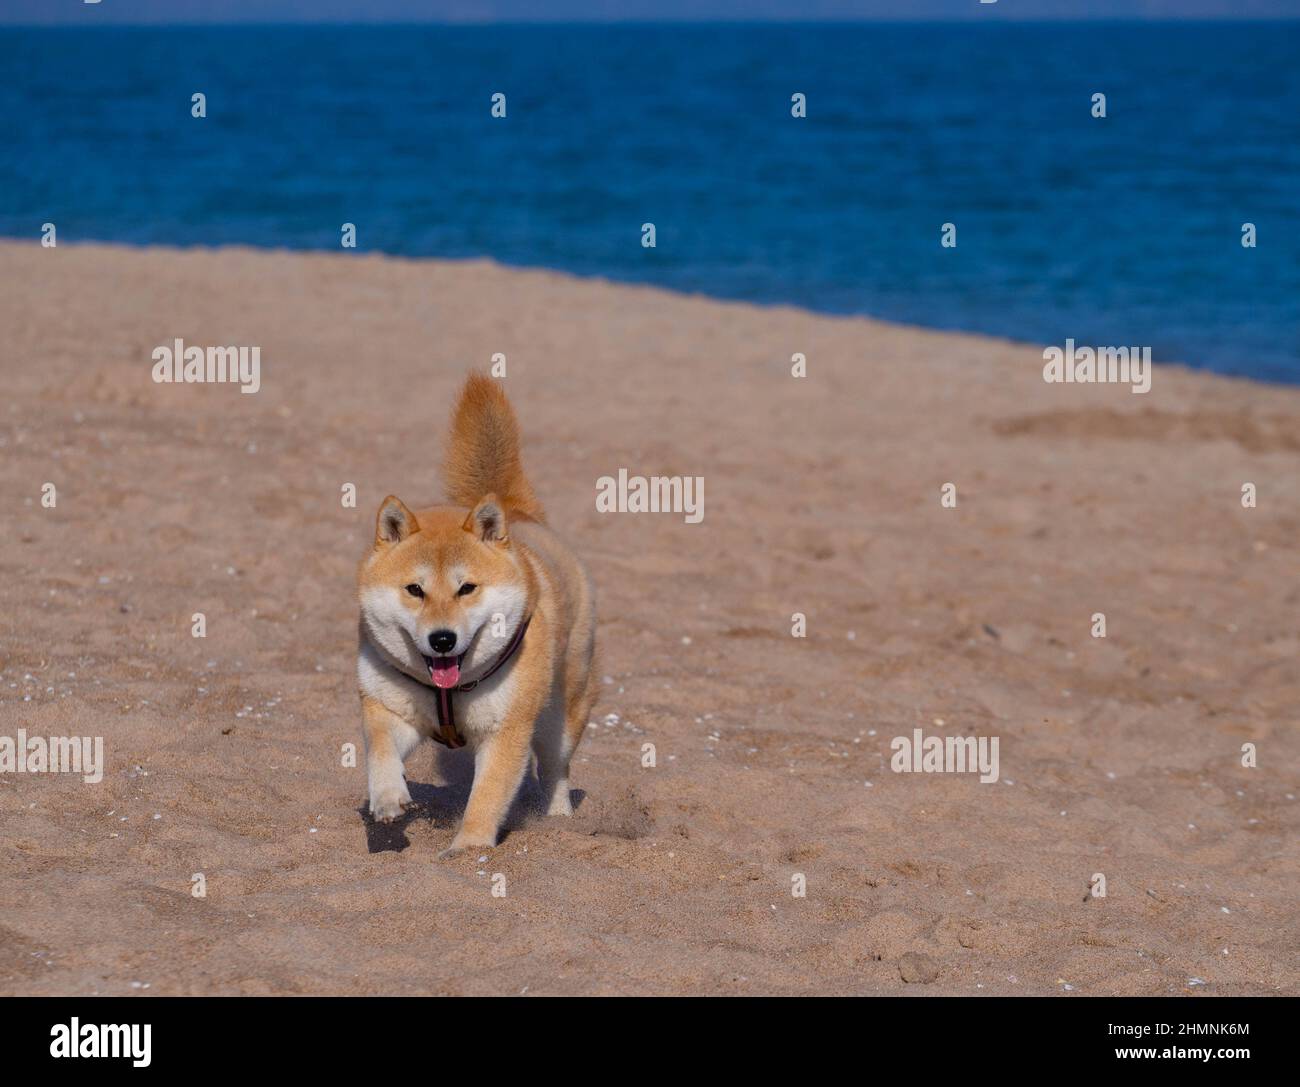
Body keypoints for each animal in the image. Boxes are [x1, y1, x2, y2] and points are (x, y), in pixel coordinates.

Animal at [356, 373, 598, 856]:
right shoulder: (389, 708)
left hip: (561, 711)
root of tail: (517, 512)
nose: (442, 639)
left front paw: (467, 849)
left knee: (556, 769)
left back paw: (558, 820)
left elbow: (487, 797)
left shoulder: (508, 731)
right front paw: (388, 798)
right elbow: (380, 751)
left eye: (466, 588)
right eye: (414, 590)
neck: (446, 688)